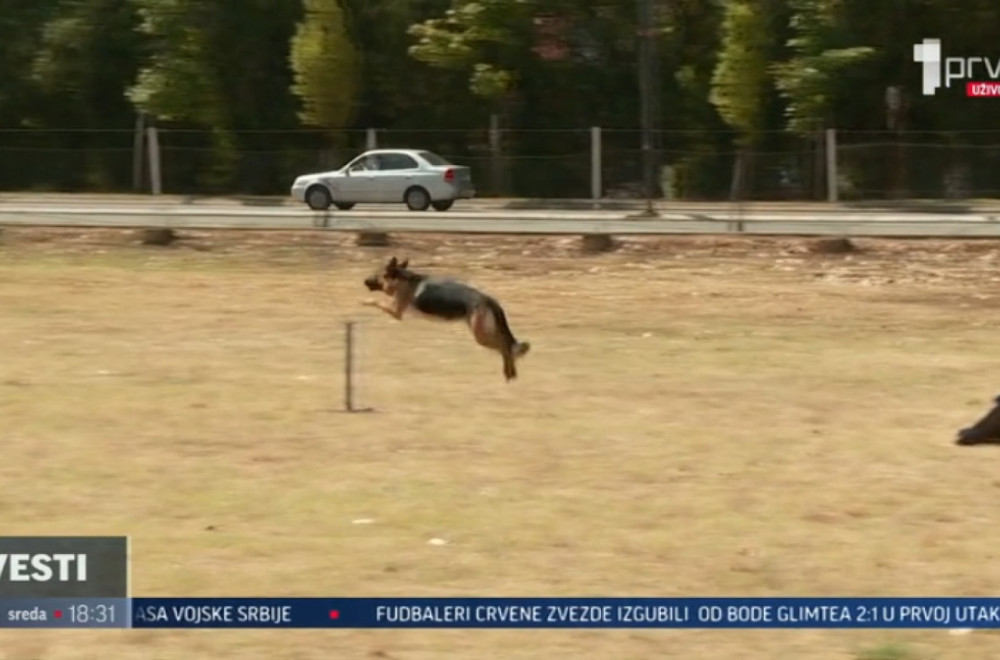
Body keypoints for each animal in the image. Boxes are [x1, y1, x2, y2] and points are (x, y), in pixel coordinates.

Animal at [362, 258, 532, 382]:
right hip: (487, 330)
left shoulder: (396, 312)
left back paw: (509, 372)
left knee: (504, 346)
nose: (364, 280)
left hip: (481, 335)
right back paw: (511, 372)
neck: (402, 279)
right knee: (506, 343)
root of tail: (488, 300)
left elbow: (375, 301)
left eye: (375, 275)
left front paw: (363, 301)